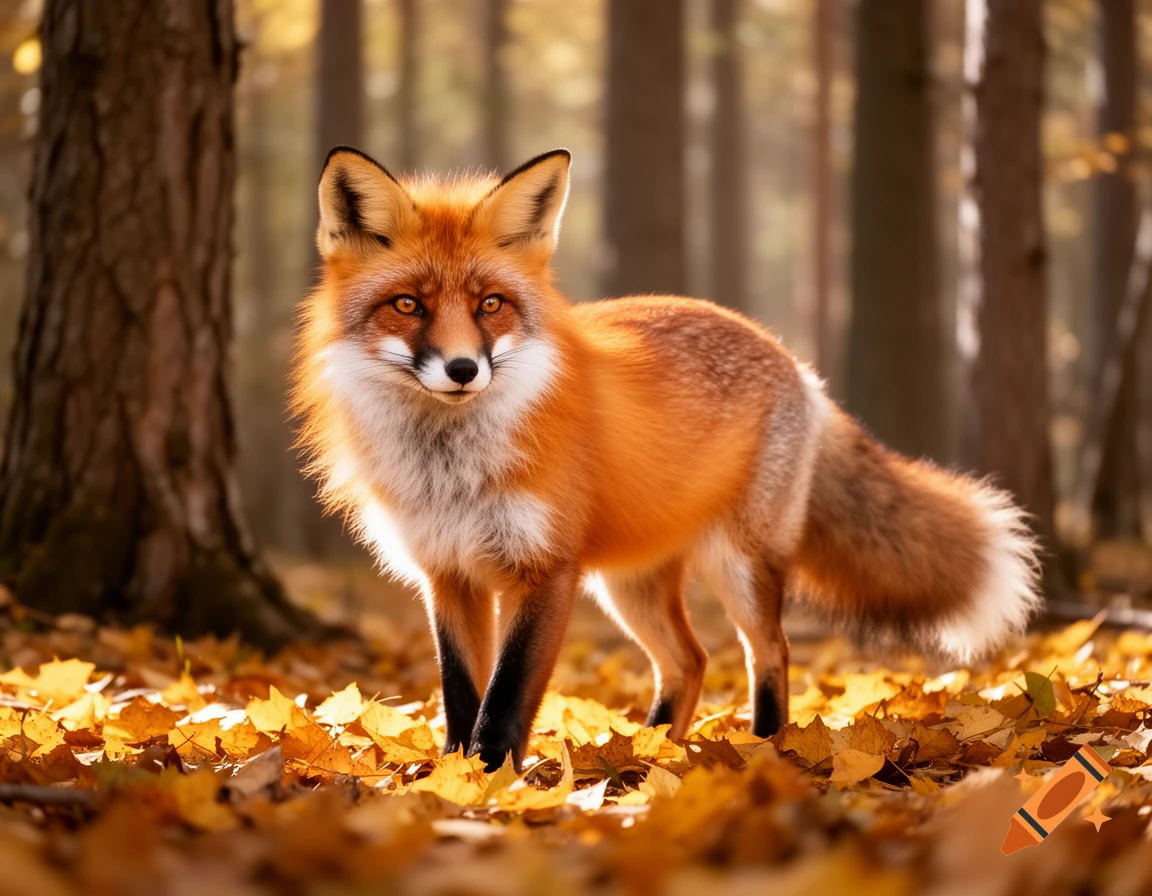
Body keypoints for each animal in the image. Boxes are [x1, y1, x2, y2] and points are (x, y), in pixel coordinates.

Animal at [293, 146, 1041, 772]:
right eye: (408, 305)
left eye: (491, 304)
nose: (462, 369)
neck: (449, 471)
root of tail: (795, 362)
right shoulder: (447, 575)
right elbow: (459, 695)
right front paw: (453, 774)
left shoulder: (546, 570)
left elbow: (505, 700)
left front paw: (490, 781)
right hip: (628, 584)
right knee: (690, 661)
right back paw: (650, 751)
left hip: (737, 564)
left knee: (769, 651)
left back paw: (765, 748)